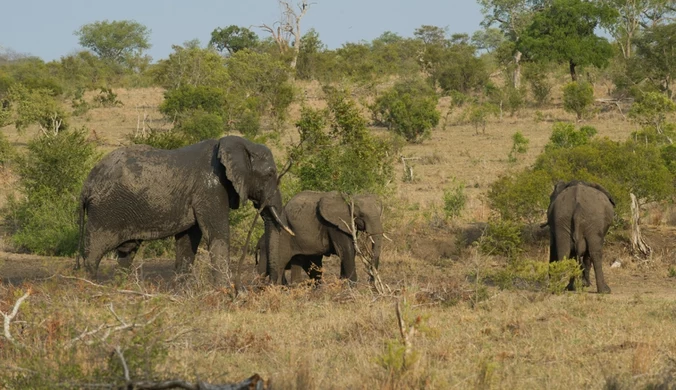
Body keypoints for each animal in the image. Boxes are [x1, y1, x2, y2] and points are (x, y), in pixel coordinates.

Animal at [76, 134, 294, 284]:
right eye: (270, 174)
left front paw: (183, 293)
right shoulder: (210, 189)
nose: (270, 283)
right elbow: (217, 235)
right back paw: (90, 290)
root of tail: (86, 184)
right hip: (105, 211)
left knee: (126, 254)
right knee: (94, 252)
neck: (235, 144)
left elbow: (188, 241)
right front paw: (226, 293)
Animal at [258, 191, 386, 284]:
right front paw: (351, 286)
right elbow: (346, 251)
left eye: (380, 213)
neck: (348, 199)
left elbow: (348, 252)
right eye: (361, 215)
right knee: (280, 264)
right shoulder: (334, 225)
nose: (371, 281)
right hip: (282, 234)